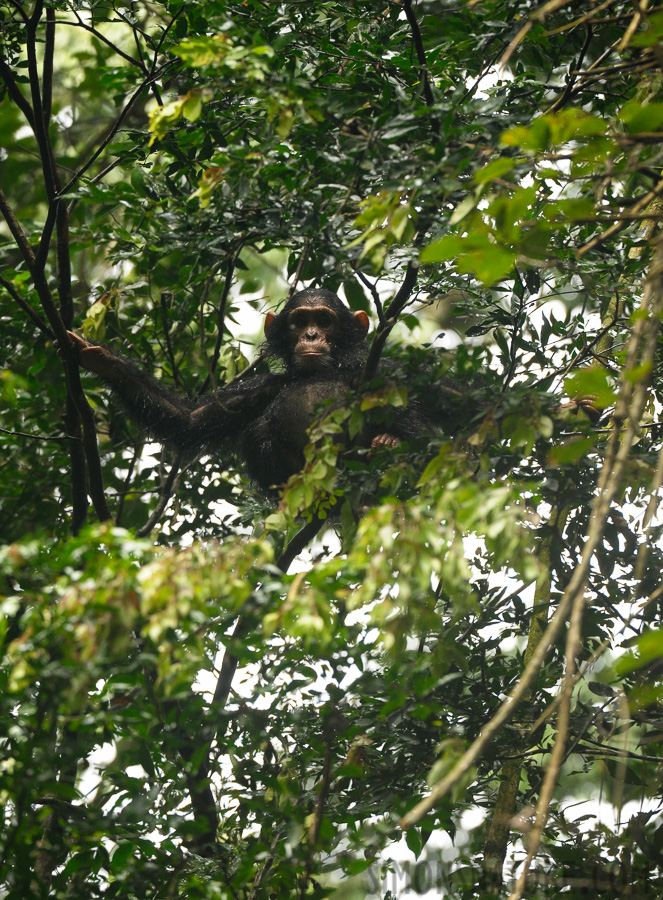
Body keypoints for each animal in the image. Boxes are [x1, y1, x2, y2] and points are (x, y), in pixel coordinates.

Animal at [68, 288, 446, 492]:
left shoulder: (377, 370)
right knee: (258, 430)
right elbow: (189, 420)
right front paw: (101, 358)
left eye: (324, 321)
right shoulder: (262, 388)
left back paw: (387, 443)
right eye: (299, 322)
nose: (311, 335)